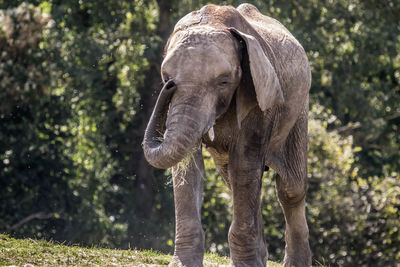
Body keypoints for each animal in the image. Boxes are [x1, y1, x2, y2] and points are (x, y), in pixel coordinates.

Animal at [143, 2, 312, 267]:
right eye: (166, 78)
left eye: (223, 81)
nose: (169, 87)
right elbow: (188, 167)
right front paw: (183, 264)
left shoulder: (258, 97)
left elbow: (244, 163)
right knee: (233, 180)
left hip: (299, 111)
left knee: (289, 188)